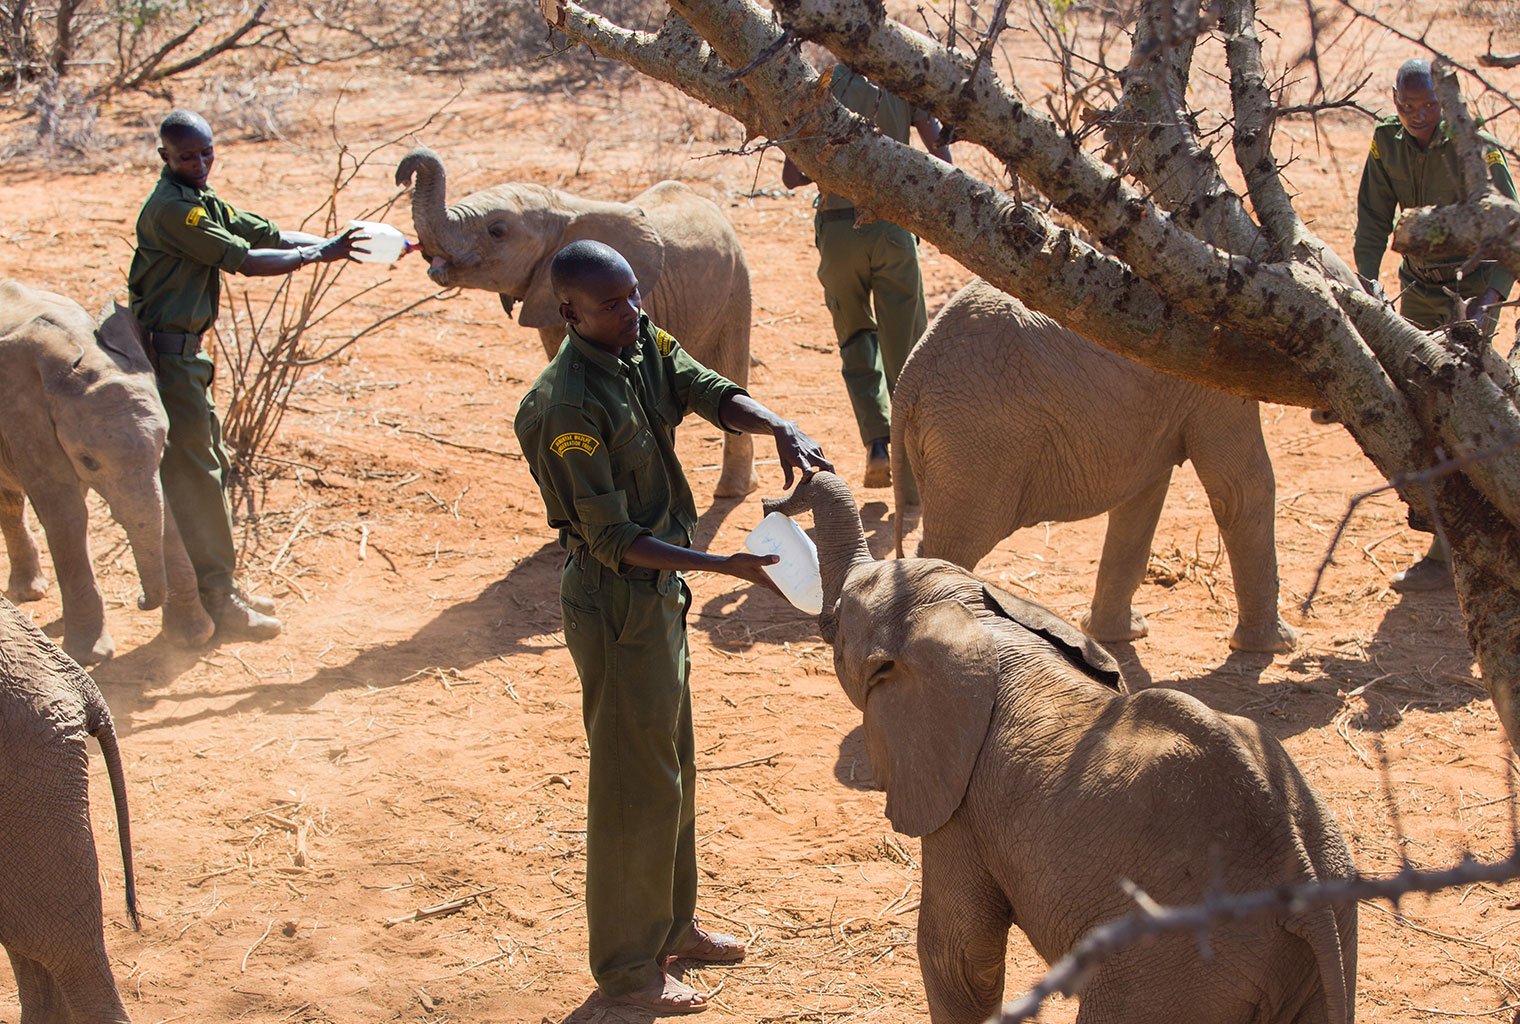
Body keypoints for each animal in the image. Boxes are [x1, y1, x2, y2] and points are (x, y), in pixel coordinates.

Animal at [0, 279, 215, 662]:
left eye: (164, 445)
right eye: (88, 460)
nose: (140, 600)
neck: (86, 357)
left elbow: (163, 505)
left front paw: (192, 639)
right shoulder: (25, 418)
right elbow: (66, 515)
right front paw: (91, 657)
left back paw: (30, 593)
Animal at [395, 145, 756, 495]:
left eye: (497, 231)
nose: (402, 176)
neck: (563, 208)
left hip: (737, 285)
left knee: (732, 369)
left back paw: (732, 492)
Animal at [772, 470, 1355, 1020]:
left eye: (837, 624)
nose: (785, 489)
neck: (982, 621)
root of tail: (1299, 878)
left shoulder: (962, 811)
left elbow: (959, 957)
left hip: (1176, 958)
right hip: (1326, 918)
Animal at [887, 274, 1295, 650]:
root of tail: (909, 377)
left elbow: (1141, 499)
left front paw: (1121, 634)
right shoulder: (1214, 370)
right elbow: (1239, 490)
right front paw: (1278, 644)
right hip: (977, 440)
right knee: (958, 544)